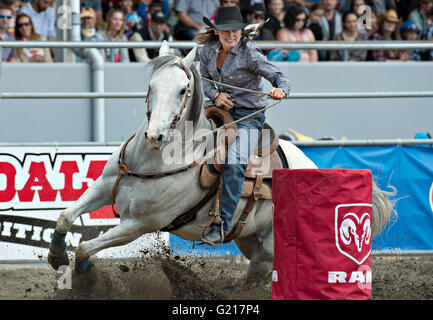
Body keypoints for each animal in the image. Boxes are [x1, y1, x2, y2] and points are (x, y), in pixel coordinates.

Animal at [47, 41, 392, 284]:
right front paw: (55, 255)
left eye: (183, 90)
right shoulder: (106, 187)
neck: (154, 161)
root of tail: (314, 170)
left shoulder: (140, 224)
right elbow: (64, 217)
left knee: (256, 276)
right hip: (248, 238)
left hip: (269, 247)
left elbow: (86, 247)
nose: (155, 136)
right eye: (152, 86)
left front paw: (84, 277)